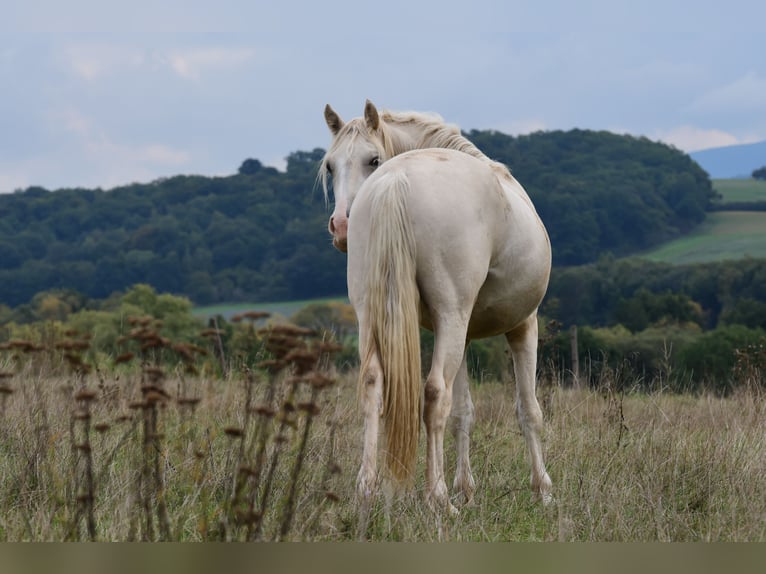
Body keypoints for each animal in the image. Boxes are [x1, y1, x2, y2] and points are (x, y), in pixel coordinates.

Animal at [320, 101, 553, 516]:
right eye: (330, 166)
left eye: (372, 159)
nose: (341, 225)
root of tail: (397, 180)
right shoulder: (523, 325)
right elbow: (528, 410)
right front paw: (542, 490)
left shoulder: (464, 335)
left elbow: (464, 413)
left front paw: (467, 489)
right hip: (454, 318)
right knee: (433, 396)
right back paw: (438, 498)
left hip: (374, 318)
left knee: (372, 386)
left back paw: (367, 490)